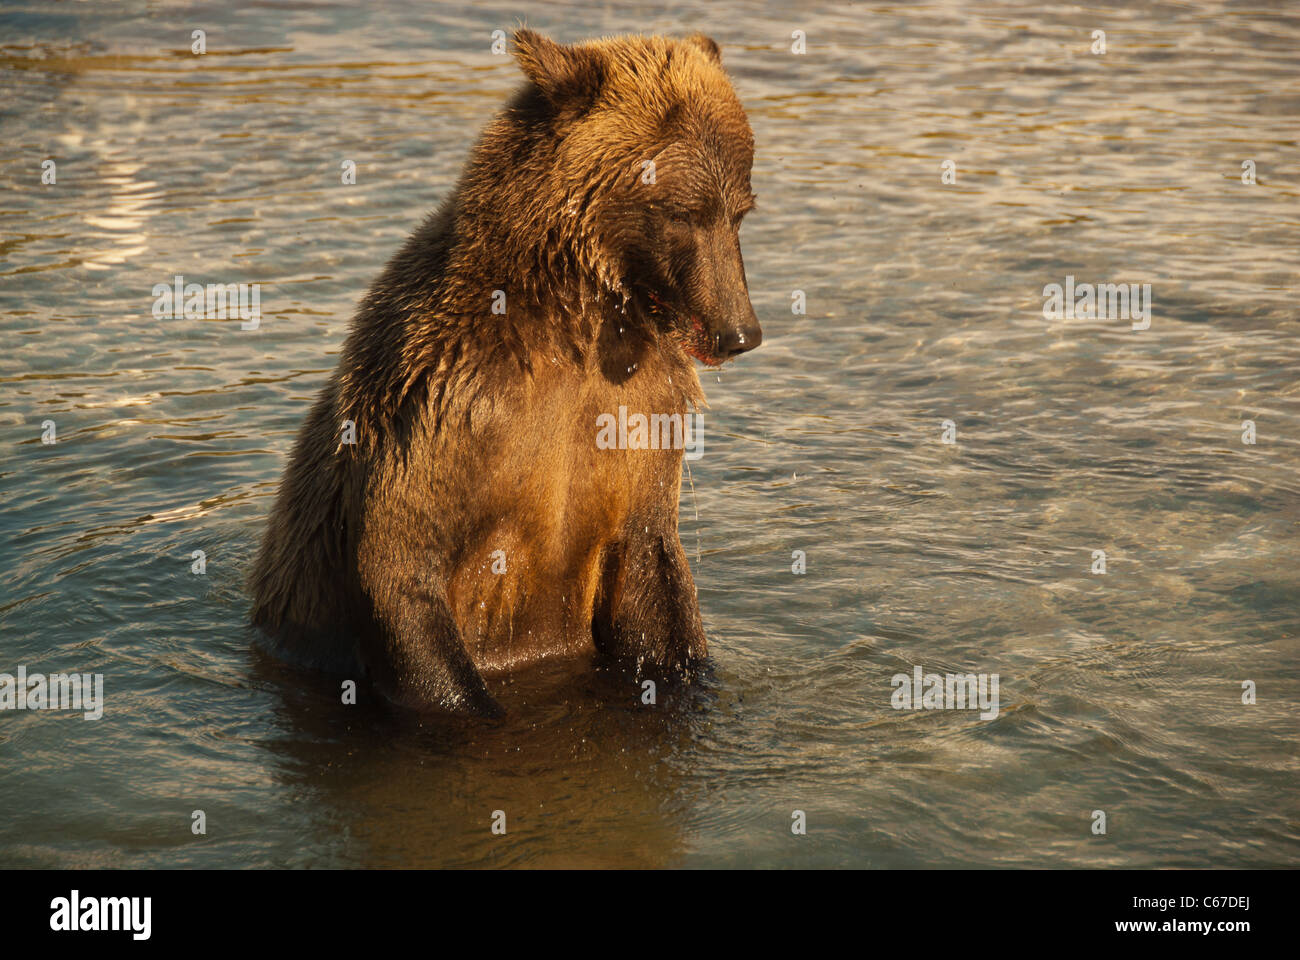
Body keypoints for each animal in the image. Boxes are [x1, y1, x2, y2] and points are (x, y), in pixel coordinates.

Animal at [245, 27, 759, 712]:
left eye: (740, 210)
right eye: (682, 210)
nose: (739, 333)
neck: (577, 318)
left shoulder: (641, 415)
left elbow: (652, 572)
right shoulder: (445, 402)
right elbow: (399, 562)